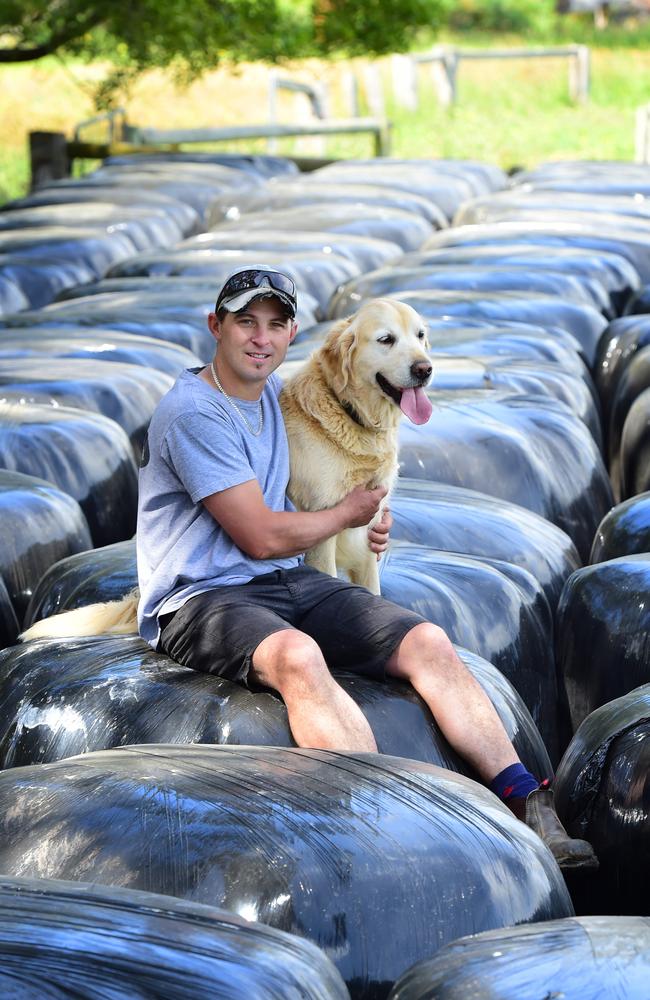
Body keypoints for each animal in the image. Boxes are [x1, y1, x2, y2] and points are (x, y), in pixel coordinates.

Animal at [21, 298, 430, 640]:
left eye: (421, 335)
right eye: (386, 340)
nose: (425, 369)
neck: (352, 416)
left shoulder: (366, 538)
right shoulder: (322, 529)